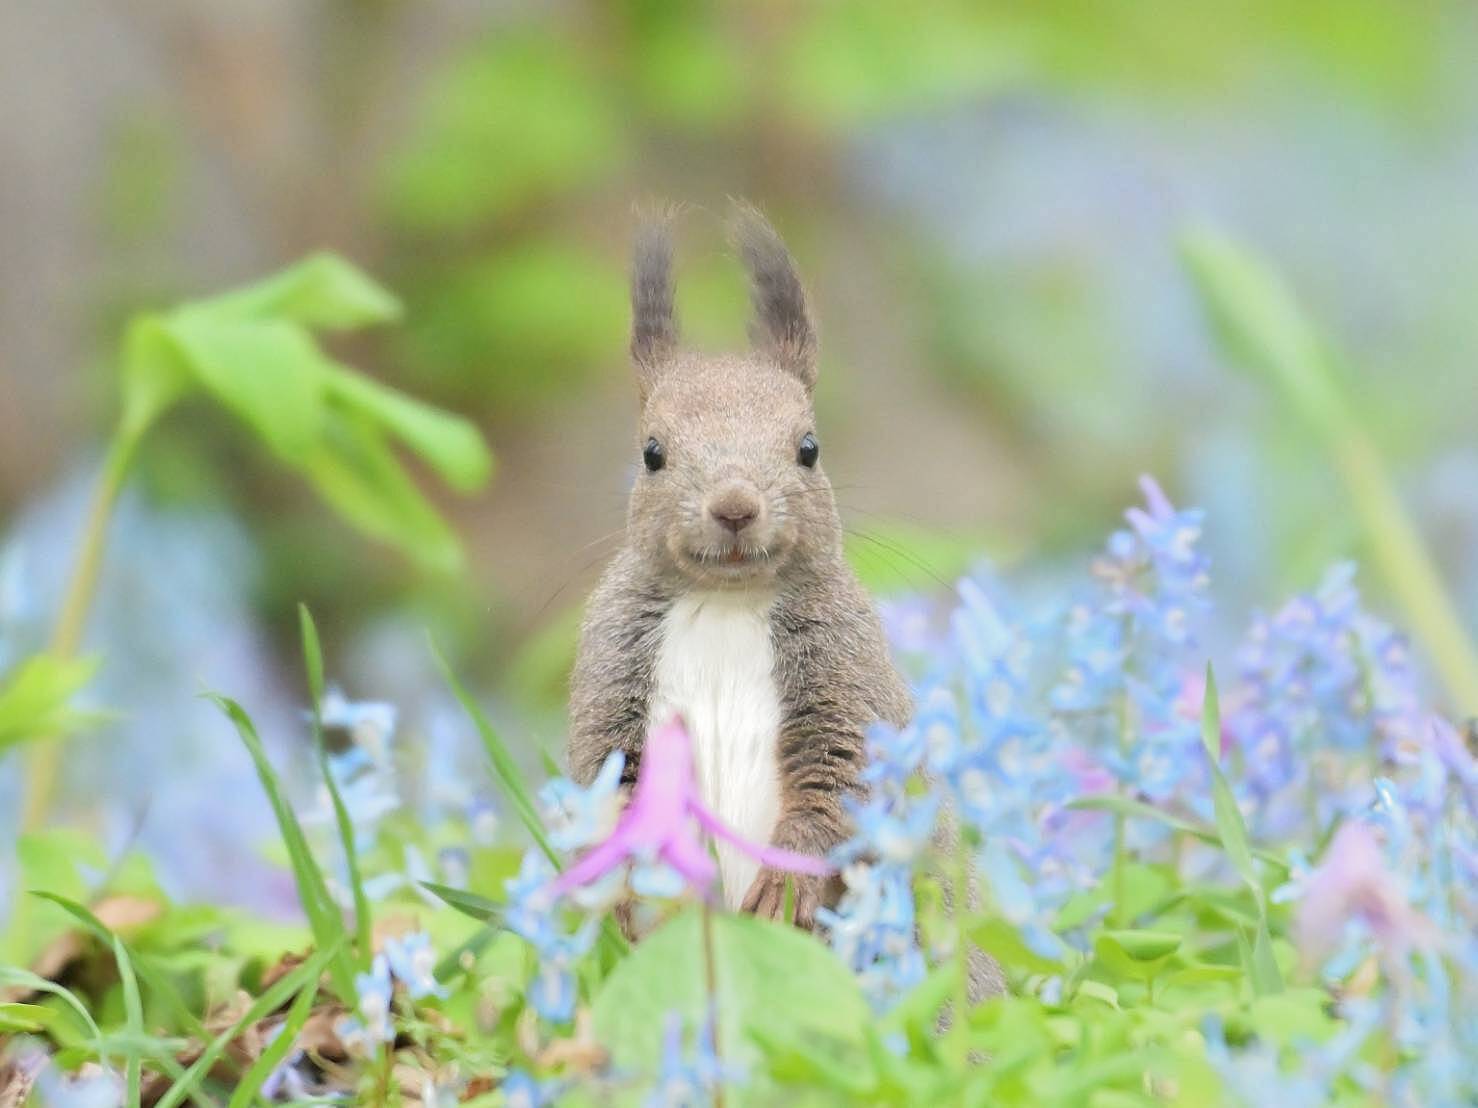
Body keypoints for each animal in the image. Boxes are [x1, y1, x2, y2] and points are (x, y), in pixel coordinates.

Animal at [564, 206, 910, 927]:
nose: (734, 507)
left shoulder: (846, 662)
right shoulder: (611, 662)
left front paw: (782, 891)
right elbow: (608, 783)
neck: (725, 600)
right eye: (652, 453)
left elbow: (840, 784)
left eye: (809, 448)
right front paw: (630, 895)